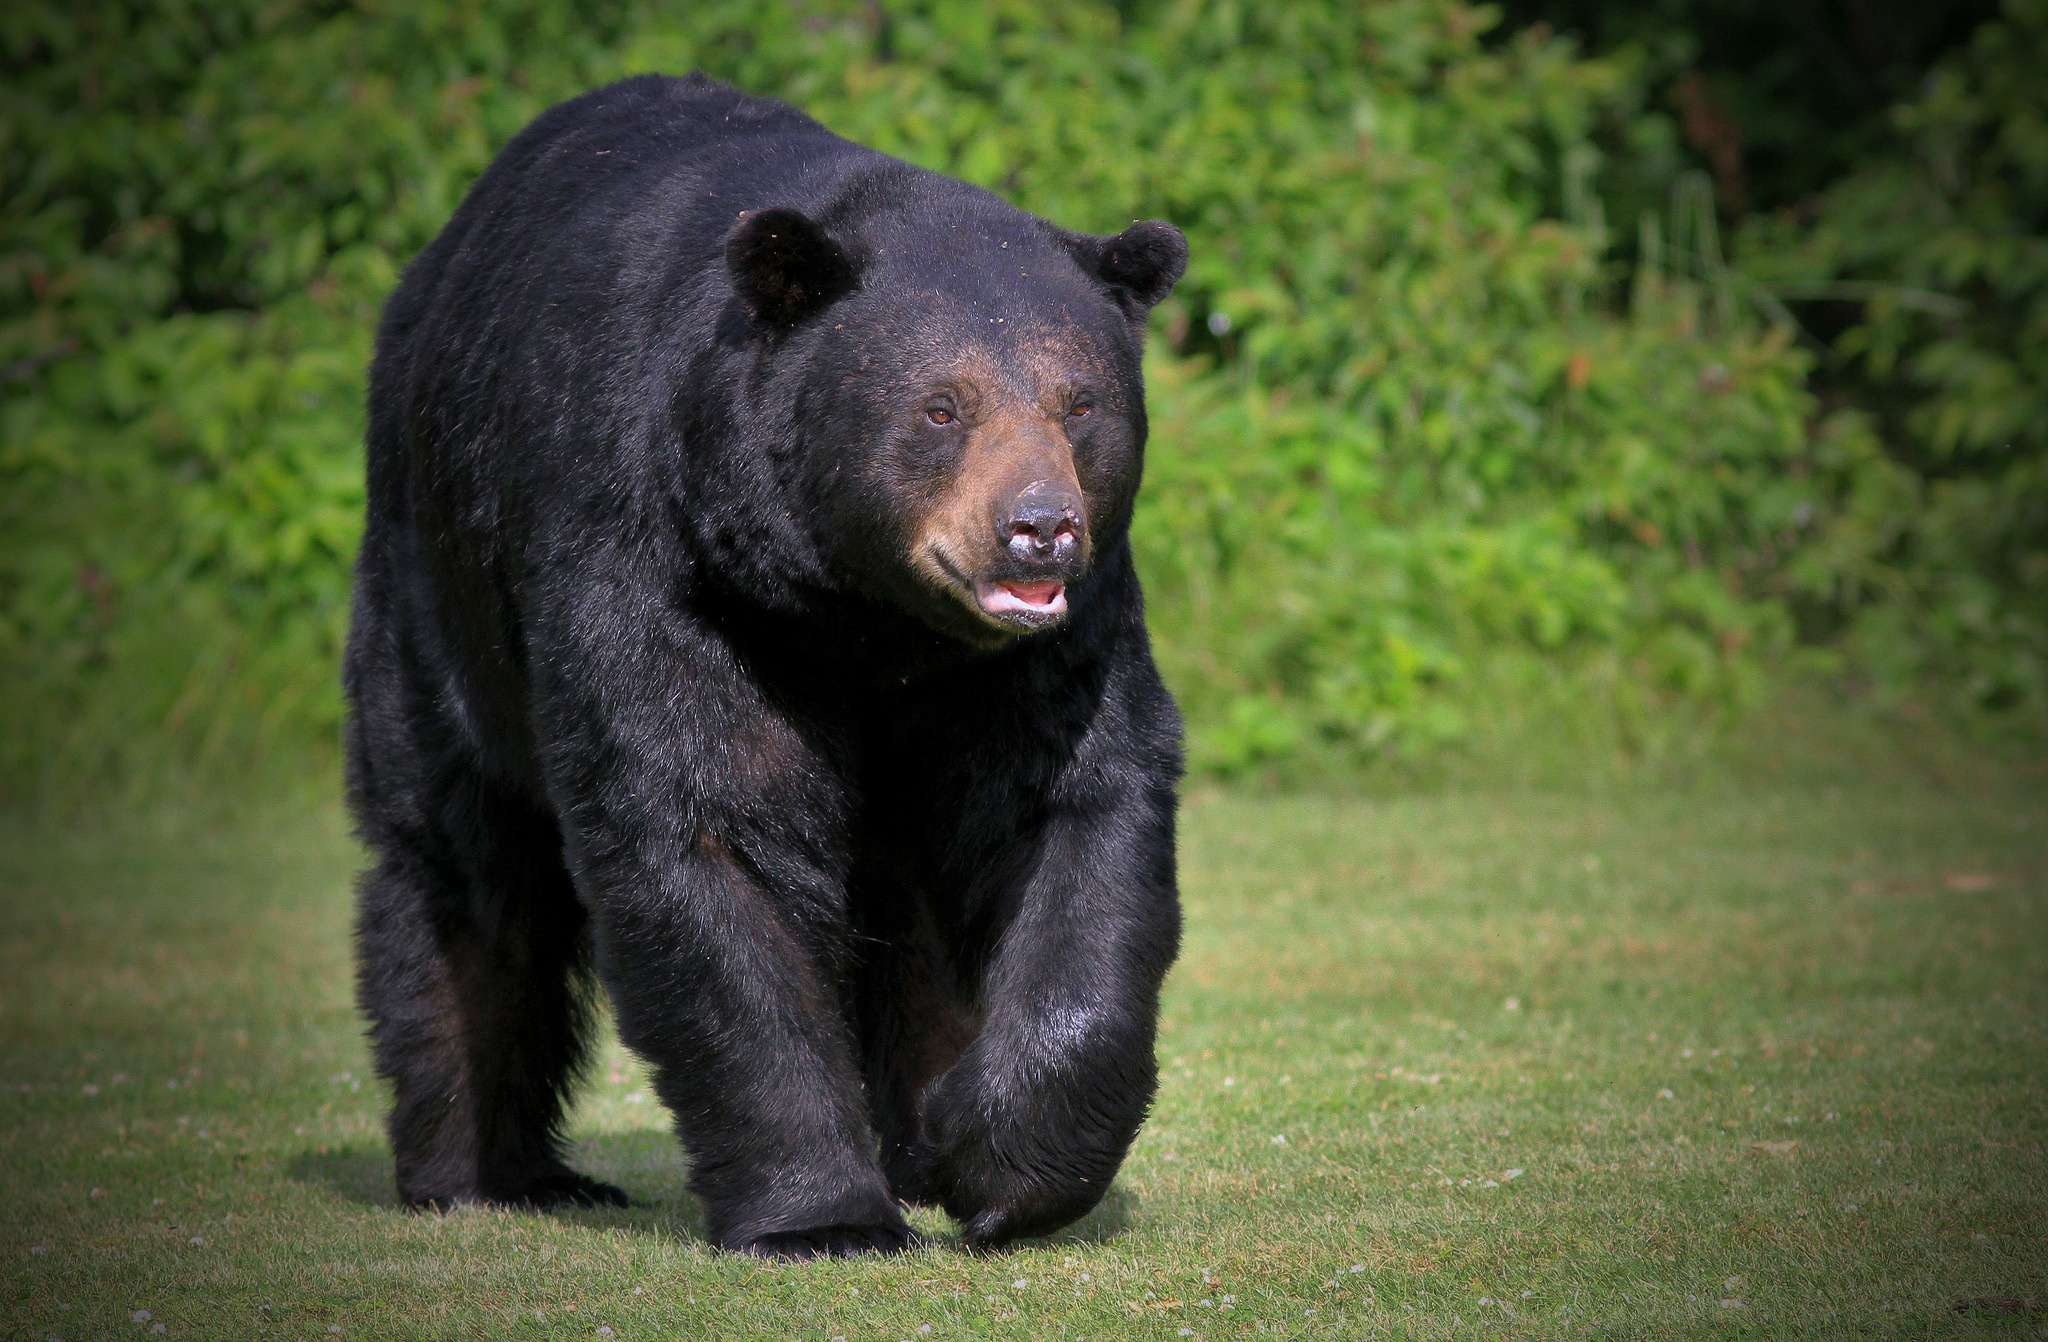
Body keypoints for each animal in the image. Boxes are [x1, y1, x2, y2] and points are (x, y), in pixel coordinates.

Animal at [346, 73, 1196, 1253]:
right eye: (942, 404)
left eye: (1080, 402)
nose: (1038, 530)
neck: (861, 614)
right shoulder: (666, 568)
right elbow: (707, 823)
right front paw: (822, 1215)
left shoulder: (1045, 648)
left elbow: (1072, 814)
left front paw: (1002, 1161)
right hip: (440, 589)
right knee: (465, 864)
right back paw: (484, 1168)